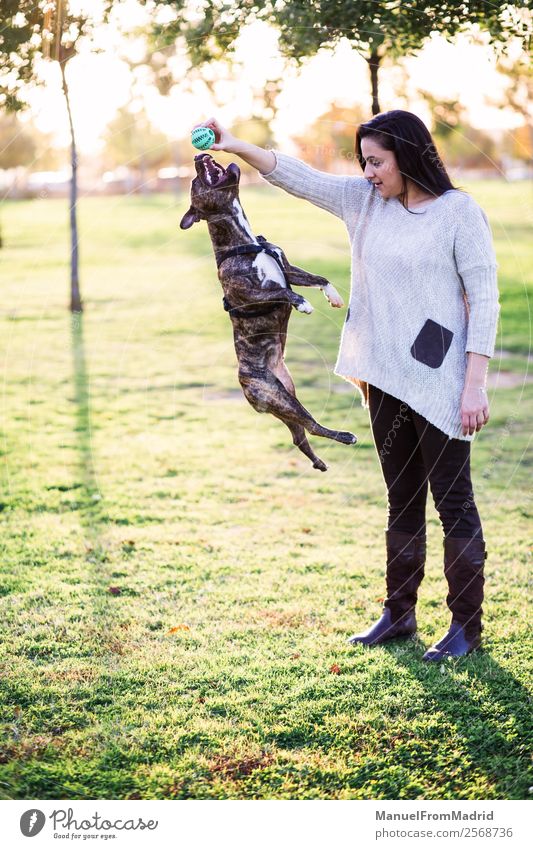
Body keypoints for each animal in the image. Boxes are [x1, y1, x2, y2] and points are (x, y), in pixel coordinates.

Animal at [180, 152, 358, 470]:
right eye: (194, 182)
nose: (198, 155)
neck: (246, 241)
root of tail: (245, 383)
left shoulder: (286, 268)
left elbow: (317, 278)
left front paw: (333, 296)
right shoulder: (250, 295)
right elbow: (283, 292)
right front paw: (303, 303)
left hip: (285, 396)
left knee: (299, 435)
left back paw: (319, 462)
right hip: (278, 397)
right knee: (311, 426)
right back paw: (345, 437)